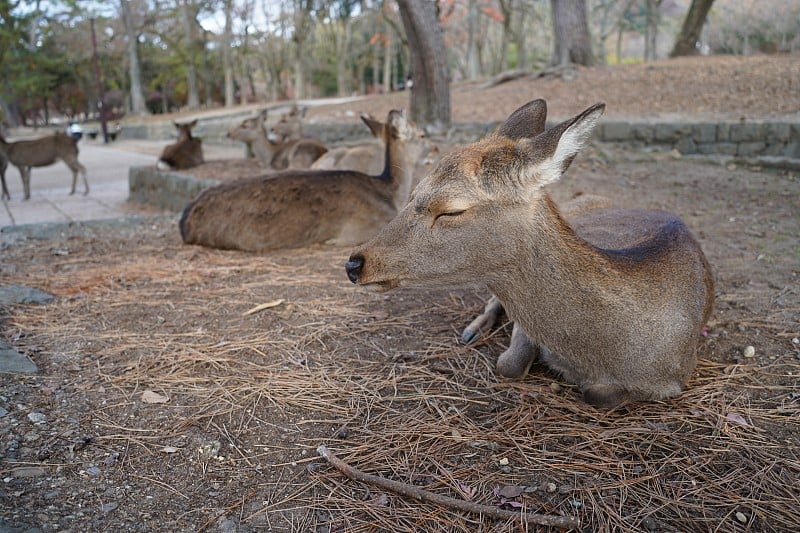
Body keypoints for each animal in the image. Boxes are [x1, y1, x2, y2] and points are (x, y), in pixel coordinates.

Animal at [346, 98, 716, 408]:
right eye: (412, 193)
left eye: (451, 210)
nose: (355, 263)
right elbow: (508, 363)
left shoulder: (674, 379)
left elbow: (599, 395)